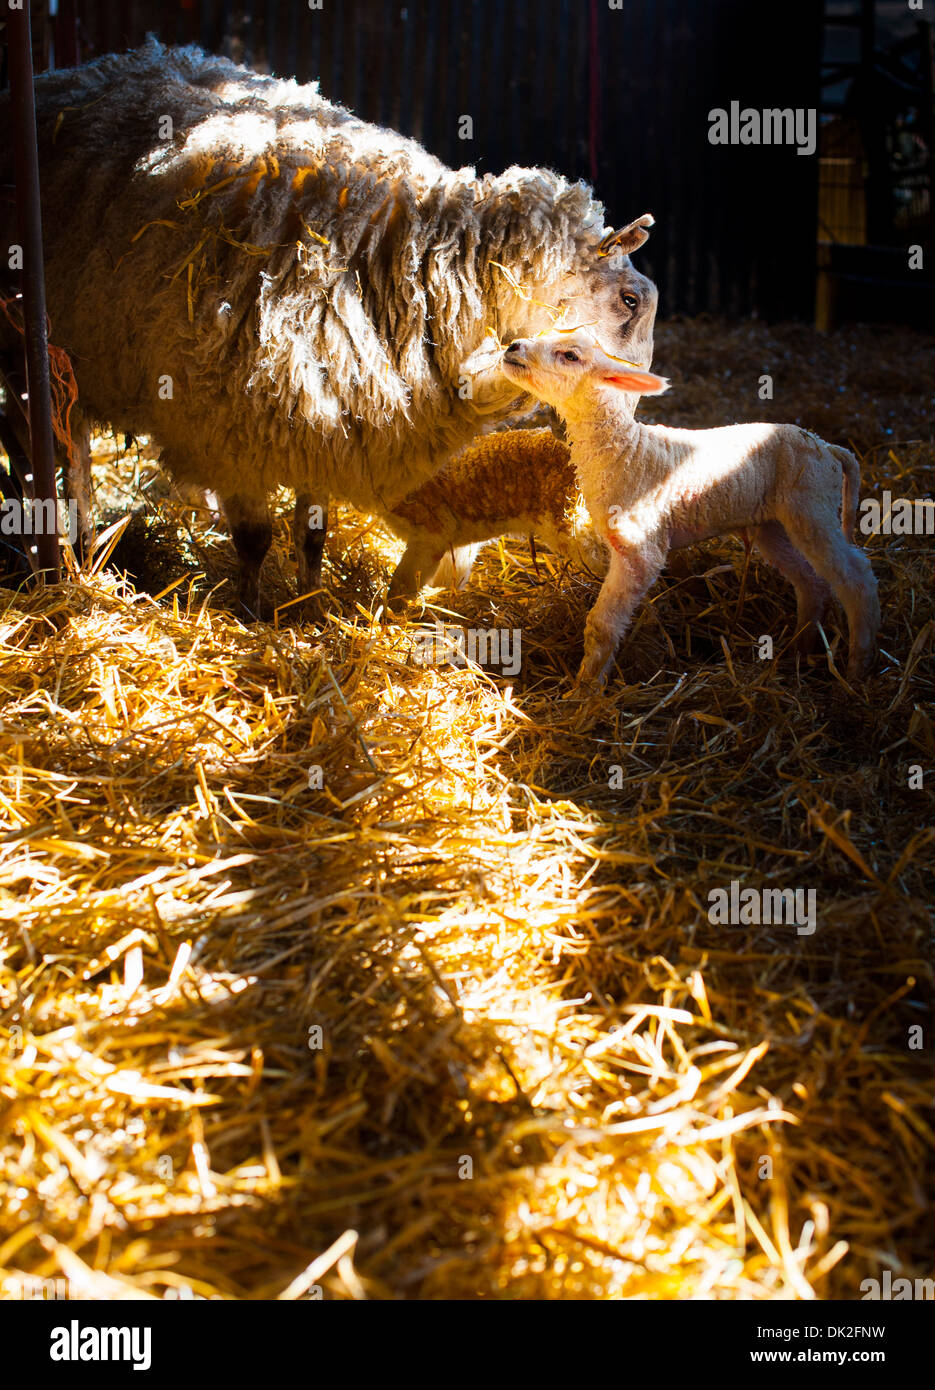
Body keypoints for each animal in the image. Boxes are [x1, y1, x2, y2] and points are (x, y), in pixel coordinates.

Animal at [0, 38, 658, 614]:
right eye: (630, 302)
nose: (628, 413)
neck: (409, 258)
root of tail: (64, 74)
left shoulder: (325, 410)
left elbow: (311, 531)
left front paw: (311, 604)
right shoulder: (233, 424)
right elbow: (255, 538)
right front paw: (253, 611)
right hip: (31, 351)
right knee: (51, 453)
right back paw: (67, 549)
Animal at [499, 329, 880, 685]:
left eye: (570, 355)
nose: (513, 347)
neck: (625, 453)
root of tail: (829, 447)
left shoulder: (641, 550)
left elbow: (602, 625)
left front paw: (586, 690)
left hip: (813, 505)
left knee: (857, 575)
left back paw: (857, 667)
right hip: (774, 524)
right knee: (810, 582)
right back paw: (799, 649)